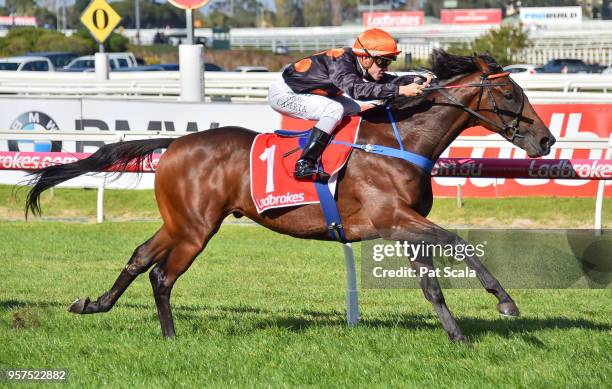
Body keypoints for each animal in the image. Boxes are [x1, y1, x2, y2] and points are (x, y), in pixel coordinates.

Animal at [23, 50, 556, 340]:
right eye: (511, 95)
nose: (548, 140)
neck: (399, 142)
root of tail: (173, 143)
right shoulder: (391, 218)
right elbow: (459, 242)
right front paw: (505, 302)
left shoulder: (405, 225)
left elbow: (431, 284)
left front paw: (457, 335)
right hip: (196, 228)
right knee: (162, 275)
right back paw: (171, 336)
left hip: (181, 221)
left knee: (138, 258)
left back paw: (93, 305)